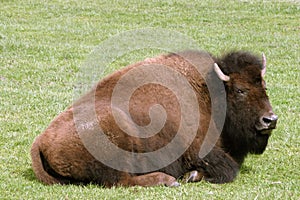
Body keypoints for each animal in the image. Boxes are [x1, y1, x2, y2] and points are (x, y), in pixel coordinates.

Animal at [30, 50, 276, 188]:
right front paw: (191, 175)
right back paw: (168, 180)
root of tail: (40, 141)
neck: (209, 93)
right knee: (122, 181)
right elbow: (228, 169)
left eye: (264, 86)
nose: (270, 120)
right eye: (240, 90)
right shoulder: (201, 151)